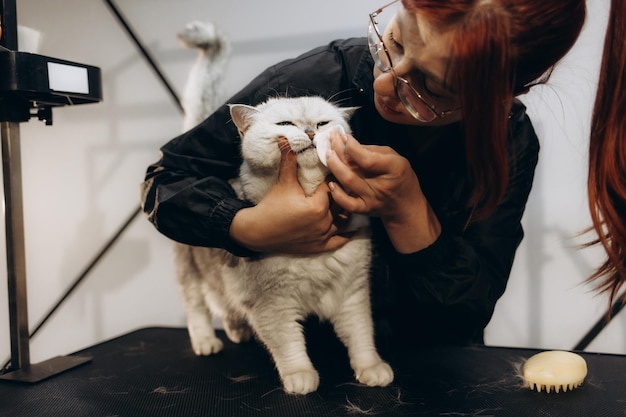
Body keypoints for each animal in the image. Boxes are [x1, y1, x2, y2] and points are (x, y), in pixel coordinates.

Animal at [173, 96, 392, 394]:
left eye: (323, 123)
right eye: (286, 124)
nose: (310, 132)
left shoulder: (352, 291)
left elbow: (360, 334)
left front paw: (371, 368)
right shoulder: (271, 304)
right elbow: (288, 344)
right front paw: (300, 377)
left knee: (226, 307)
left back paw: (238, 332)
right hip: (190, 273)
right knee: (197, 310)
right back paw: (206, 343)